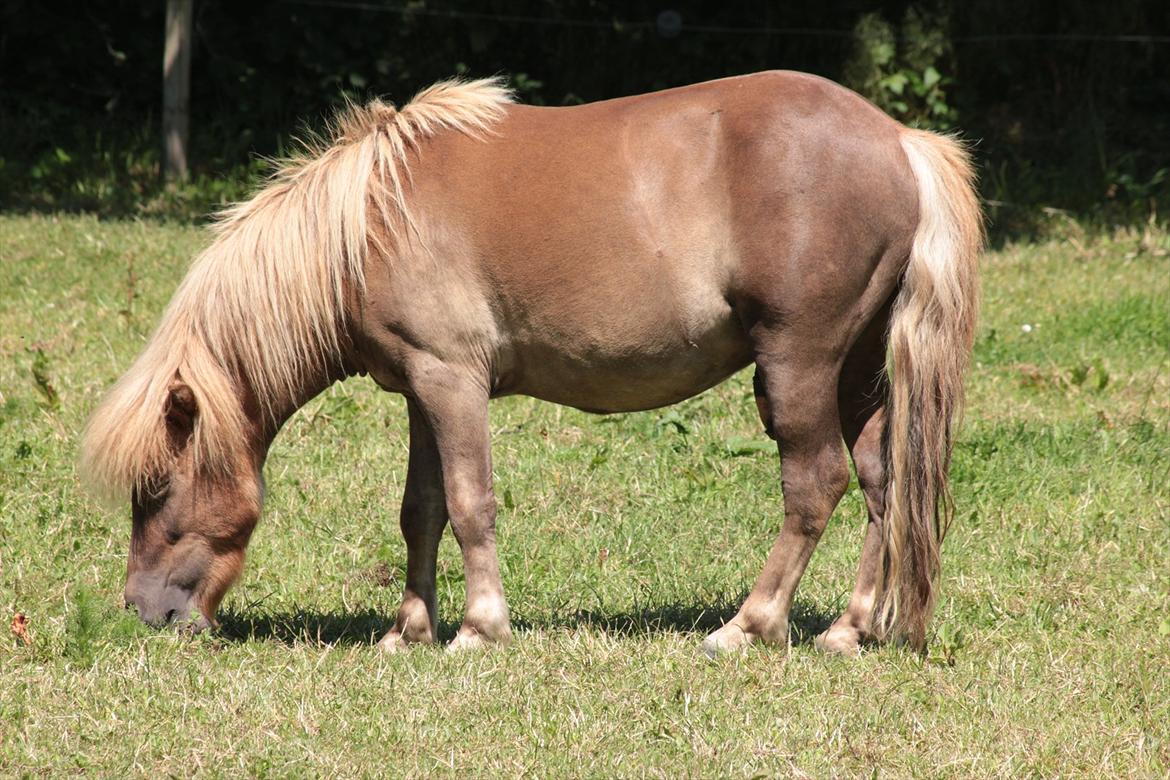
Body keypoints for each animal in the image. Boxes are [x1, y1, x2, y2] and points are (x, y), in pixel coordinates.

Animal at [77, 73, 982, 654]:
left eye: (156, 490)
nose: (143, 614)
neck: (368, 222)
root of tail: (900, 141)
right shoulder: (422, 388)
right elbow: (422, 509)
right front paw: (406, 631)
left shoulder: (453, 379)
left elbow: (471, 502)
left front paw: (479, 629)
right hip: (858, 368)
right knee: (881, 481)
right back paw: (849, 629)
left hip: (798, 363)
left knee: (816, 483)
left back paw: (747, 626)